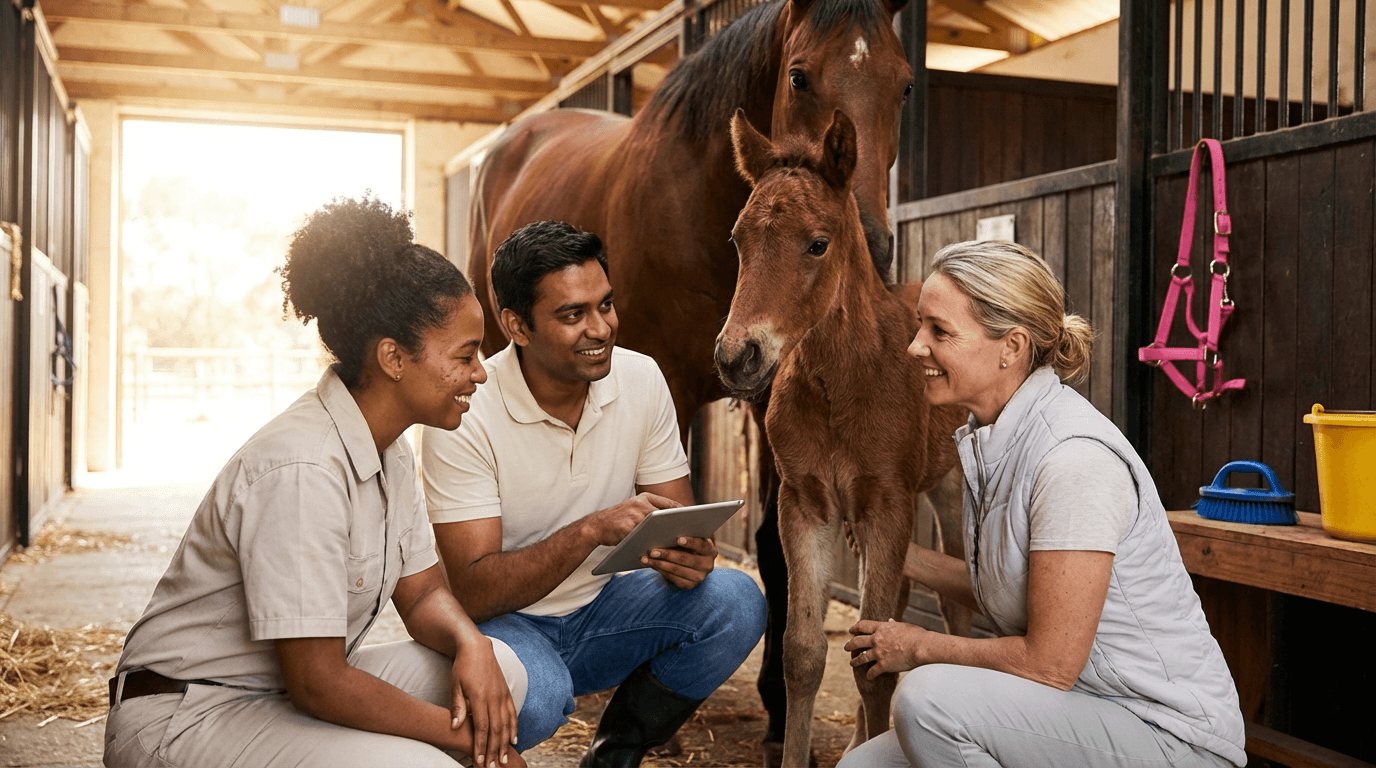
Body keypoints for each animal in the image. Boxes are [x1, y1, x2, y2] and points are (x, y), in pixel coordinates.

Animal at [466, 0, 913, 758]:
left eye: (905, 84)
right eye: (799, 74)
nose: (875, 247)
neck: (697, 209)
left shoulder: (768, 395)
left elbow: (772, 550)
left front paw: (776, 719)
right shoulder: (670, 382)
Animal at [715, 108, 968, 767]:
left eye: (817, 243)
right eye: (737, 240)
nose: (737, 357)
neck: (841, 384)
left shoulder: (888, 502)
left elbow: (876, 664)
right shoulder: (806, 503)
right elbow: (804, 653)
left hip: (950, 490)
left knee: (954, 601)